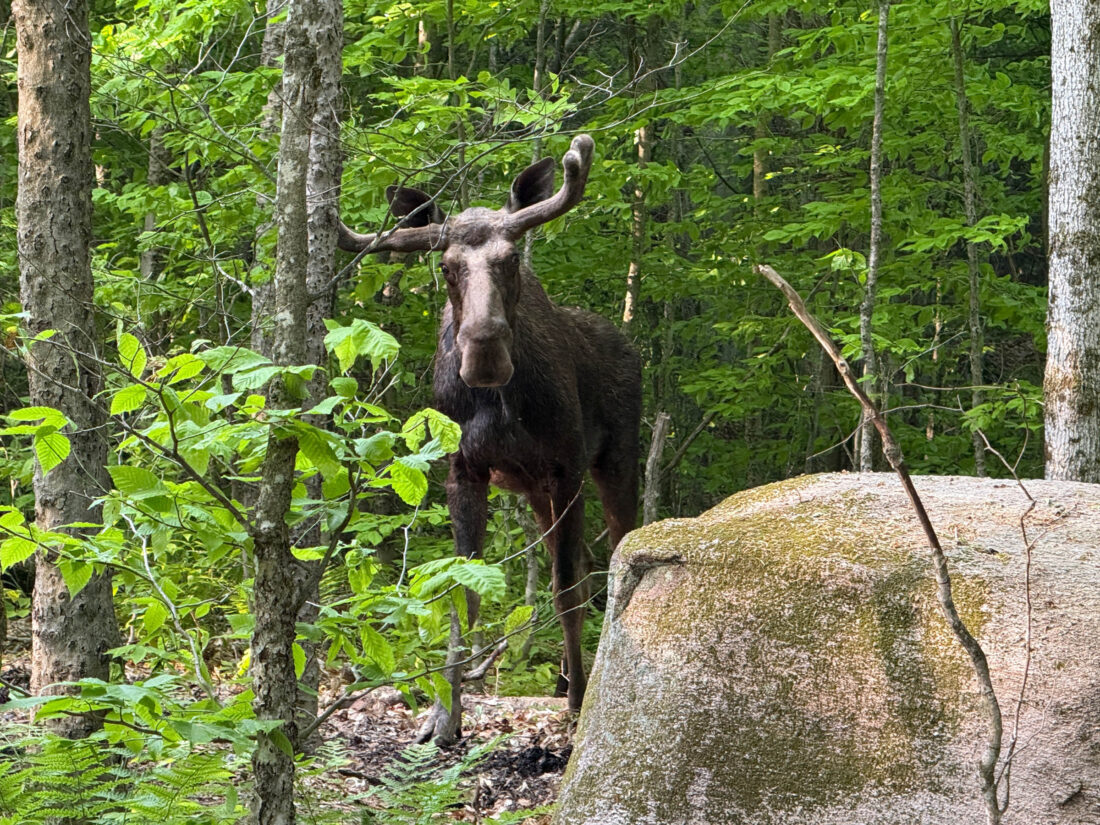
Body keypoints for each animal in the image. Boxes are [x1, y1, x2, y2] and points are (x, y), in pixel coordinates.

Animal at [337, 135, 641, 744]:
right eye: (447, 266)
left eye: (510, 259)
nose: (483, 351)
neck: (500, 405)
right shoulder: (463, 470)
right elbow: (463, 593)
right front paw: (444, 716)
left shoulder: (566, 466)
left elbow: (566, 589)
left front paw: (578, 709)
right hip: (535, 493)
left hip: (615, 460)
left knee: (619, 548)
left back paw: (586, 681)